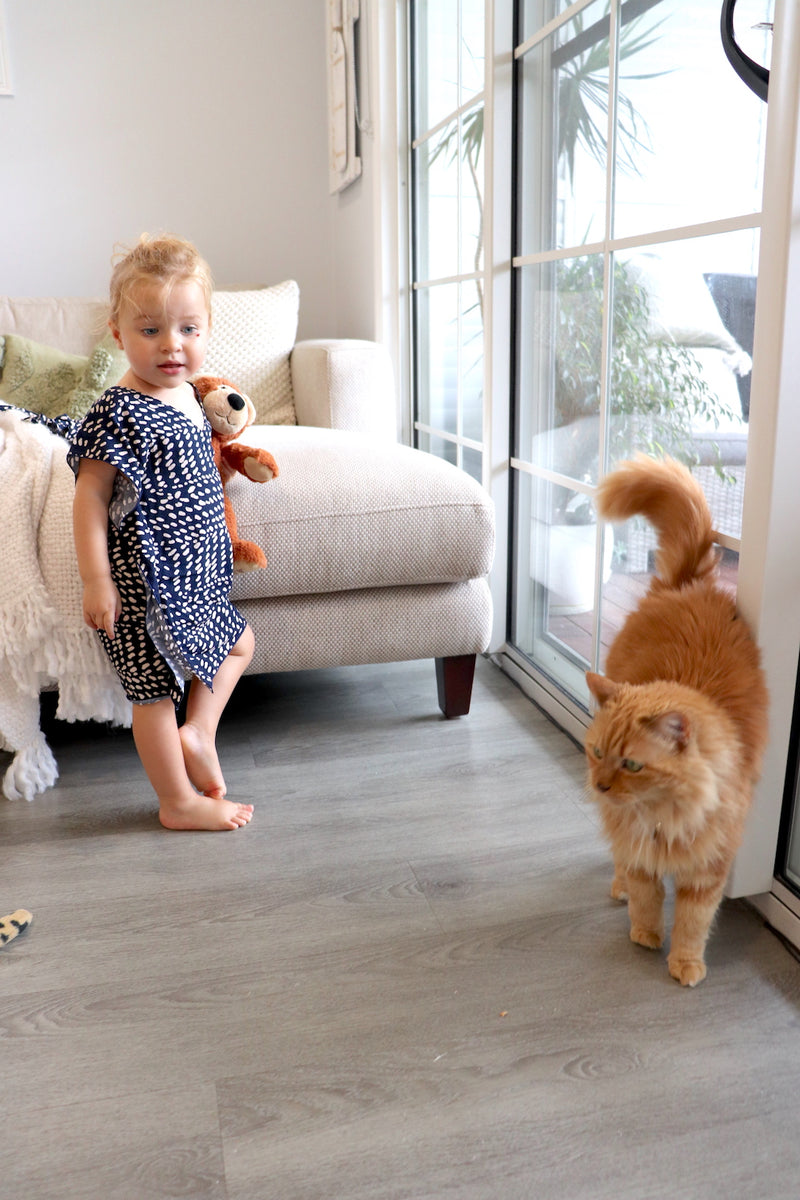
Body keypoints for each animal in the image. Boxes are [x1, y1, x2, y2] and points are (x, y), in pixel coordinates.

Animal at [587, 456, 767, 984]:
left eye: (632, 765)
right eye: (597, 752)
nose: (600, 786)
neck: (662, 816)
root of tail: (686, 584)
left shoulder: (709, 866)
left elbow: (692, 921)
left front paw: (685, 964)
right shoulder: (638, 846)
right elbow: (646, 894)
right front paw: (645, 935)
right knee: (620, 861)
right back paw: (619, 887)